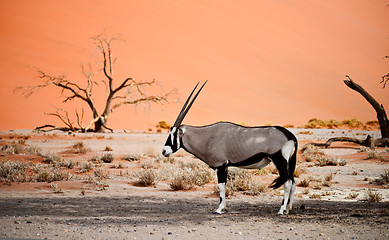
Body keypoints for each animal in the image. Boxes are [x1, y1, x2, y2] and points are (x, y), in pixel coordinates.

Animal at [161, 81, 298, 215]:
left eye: (174, 134)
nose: (164, 151)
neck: (208, 137)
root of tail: (291, 136)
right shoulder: (225, 166)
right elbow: (225, 185)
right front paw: (224, 208)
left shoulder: (221, 165)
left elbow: (221, 186)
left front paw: (219, 209)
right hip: (286, 163)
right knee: (293, 181)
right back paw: (288, 209)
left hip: (279, 160)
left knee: (287, 182)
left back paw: (281, 210)